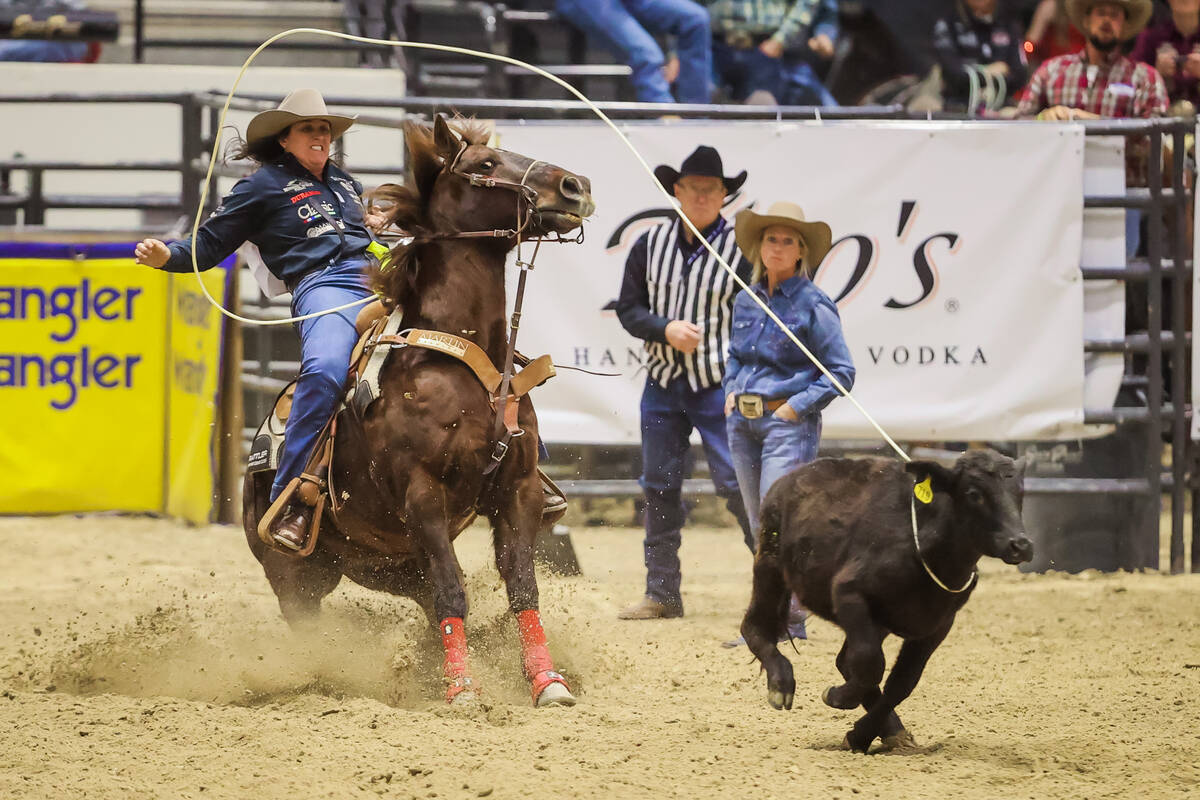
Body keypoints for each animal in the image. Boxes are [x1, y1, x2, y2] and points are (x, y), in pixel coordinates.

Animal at [242, 117, 595, 705]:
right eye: (484, 166)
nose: (576, 186)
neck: (458, 360)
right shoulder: (423, 494)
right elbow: (454, 591)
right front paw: (464, 691)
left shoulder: (517, 491)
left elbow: (522, 587)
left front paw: (548, 683)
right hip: (292, 572)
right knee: (313, 623)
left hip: (391, 562)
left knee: (429, 600)